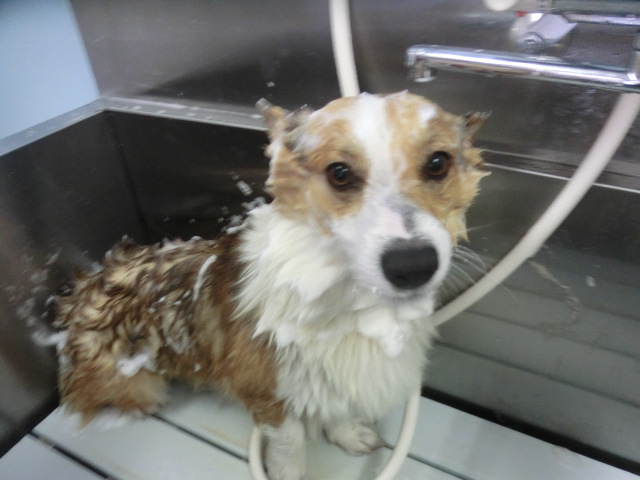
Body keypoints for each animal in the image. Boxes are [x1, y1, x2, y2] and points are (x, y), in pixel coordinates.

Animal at [54, 91, 487, 480]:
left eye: (437, 163)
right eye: (340, 172)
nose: (413, 265)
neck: (347, 302)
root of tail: (81, 291)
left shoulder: (334, 378)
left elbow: (340, 410)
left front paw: (349, 435)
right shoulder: (270, 396)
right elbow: (289, 446)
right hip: (139, 384)